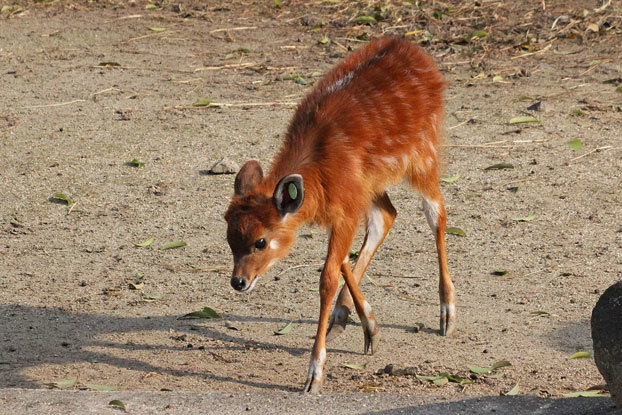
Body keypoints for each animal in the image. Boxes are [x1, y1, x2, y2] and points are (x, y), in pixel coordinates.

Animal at [225, 36, 458, 394]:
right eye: (229, 239)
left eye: (260, 241)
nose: (239, 282)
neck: (321, 168)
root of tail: (411, 48)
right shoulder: (346, 207)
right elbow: (343, 261)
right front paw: (369, 328)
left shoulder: (347, 208)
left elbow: (327, 277)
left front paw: (314, 375)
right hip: (376, 184)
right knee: (387, 215)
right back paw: (349, 321)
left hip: (424, 155)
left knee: (436, 213)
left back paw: (447, 315)